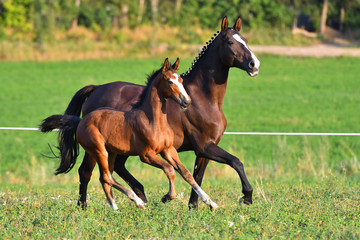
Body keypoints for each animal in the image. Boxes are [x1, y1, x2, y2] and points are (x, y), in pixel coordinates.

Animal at [40, 59, 218, 211]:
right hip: (99, 151)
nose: (187, 101)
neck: (153, 121)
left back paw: (115, 208)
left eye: (181, 80)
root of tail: (81, 121)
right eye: (170, 81)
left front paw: (211, 203)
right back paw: (137, 202)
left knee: (105, 178)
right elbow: (169, 169)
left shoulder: (169, 150)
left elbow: (186, 174)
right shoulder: (146, 155)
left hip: (111, 153)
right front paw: (166, 197)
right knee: (105, 177)